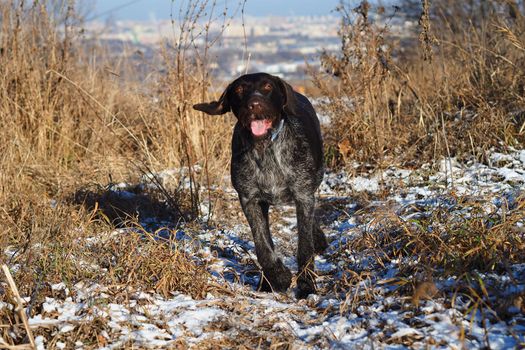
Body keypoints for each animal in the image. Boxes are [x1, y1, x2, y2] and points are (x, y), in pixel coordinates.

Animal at [192, 72, 326, 298]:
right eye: (239, 90)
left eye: (267, 86)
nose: (254, 104)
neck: (265, 148)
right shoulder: (250, 200)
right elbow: (263, 247)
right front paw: (277, 278)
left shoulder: (303, 195)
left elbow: (305, 246)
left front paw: (307, 285)